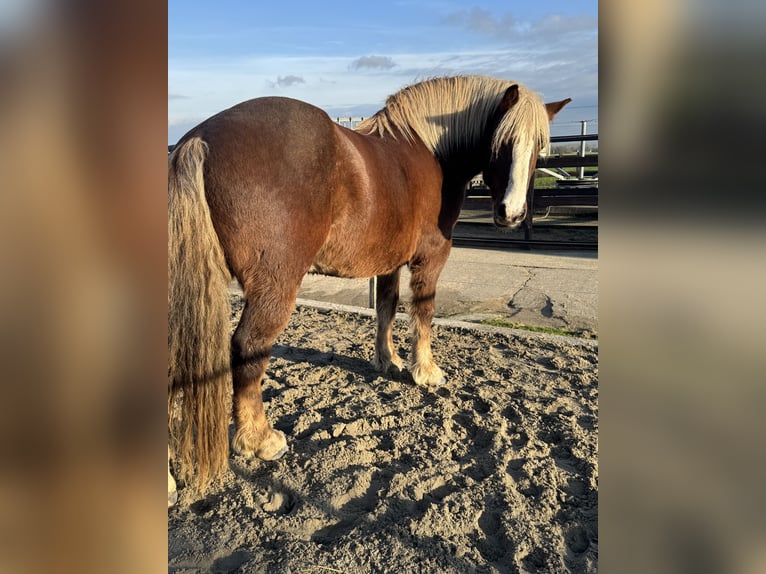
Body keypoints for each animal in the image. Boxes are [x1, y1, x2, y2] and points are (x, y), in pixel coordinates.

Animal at [168, 75, 570, 505]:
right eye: (501, 141)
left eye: (539, 147)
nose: (511, 214)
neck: (429, 152)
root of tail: (198, 137)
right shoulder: (430, 257)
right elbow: (423, 311)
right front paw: (426, 371)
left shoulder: (390, 261)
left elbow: (387, 307)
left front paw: (388, 361)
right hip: (275, 286)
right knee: (248, 349)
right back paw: (260, 440)